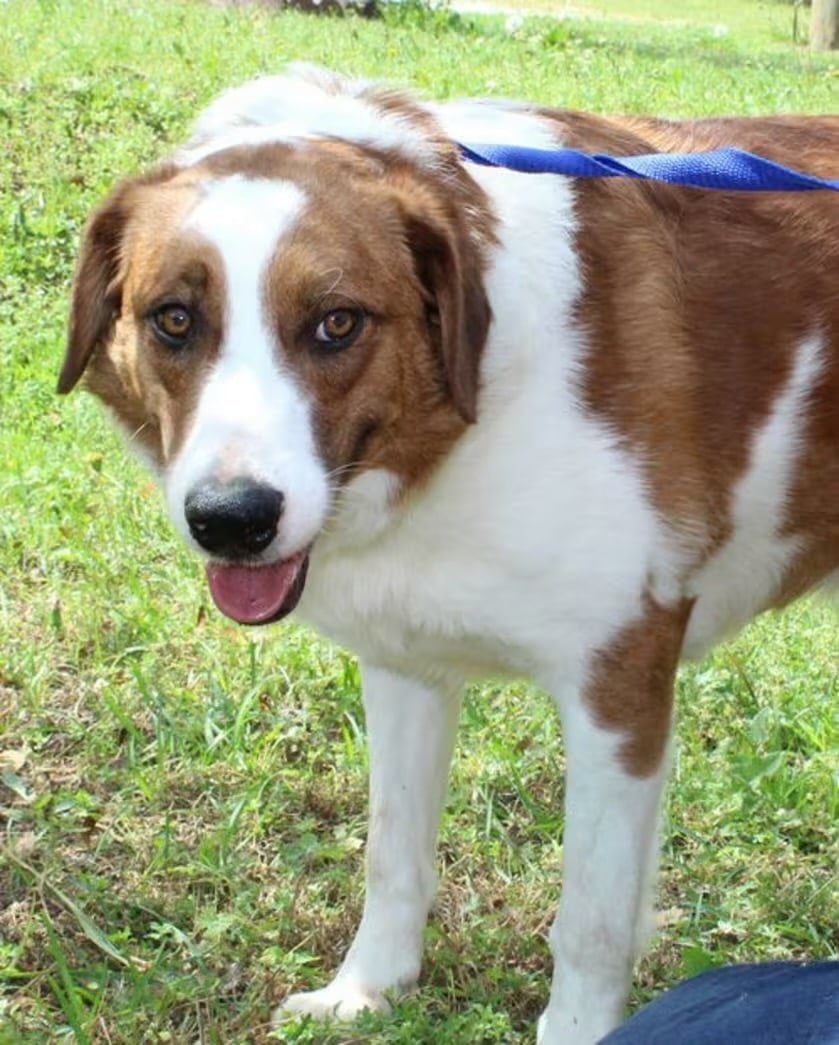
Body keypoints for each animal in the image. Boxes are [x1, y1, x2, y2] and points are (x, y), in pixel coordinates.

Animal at [59, 67, 838, 1043]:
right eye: (172, 319)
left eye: (336, 323)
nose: (232, 519)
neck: (469, 415)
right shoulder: (404, 661)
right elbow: (393, 853)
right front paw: (368, 988)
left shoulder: (618, 684)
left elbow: (589, 919)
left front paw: (574, 1029)